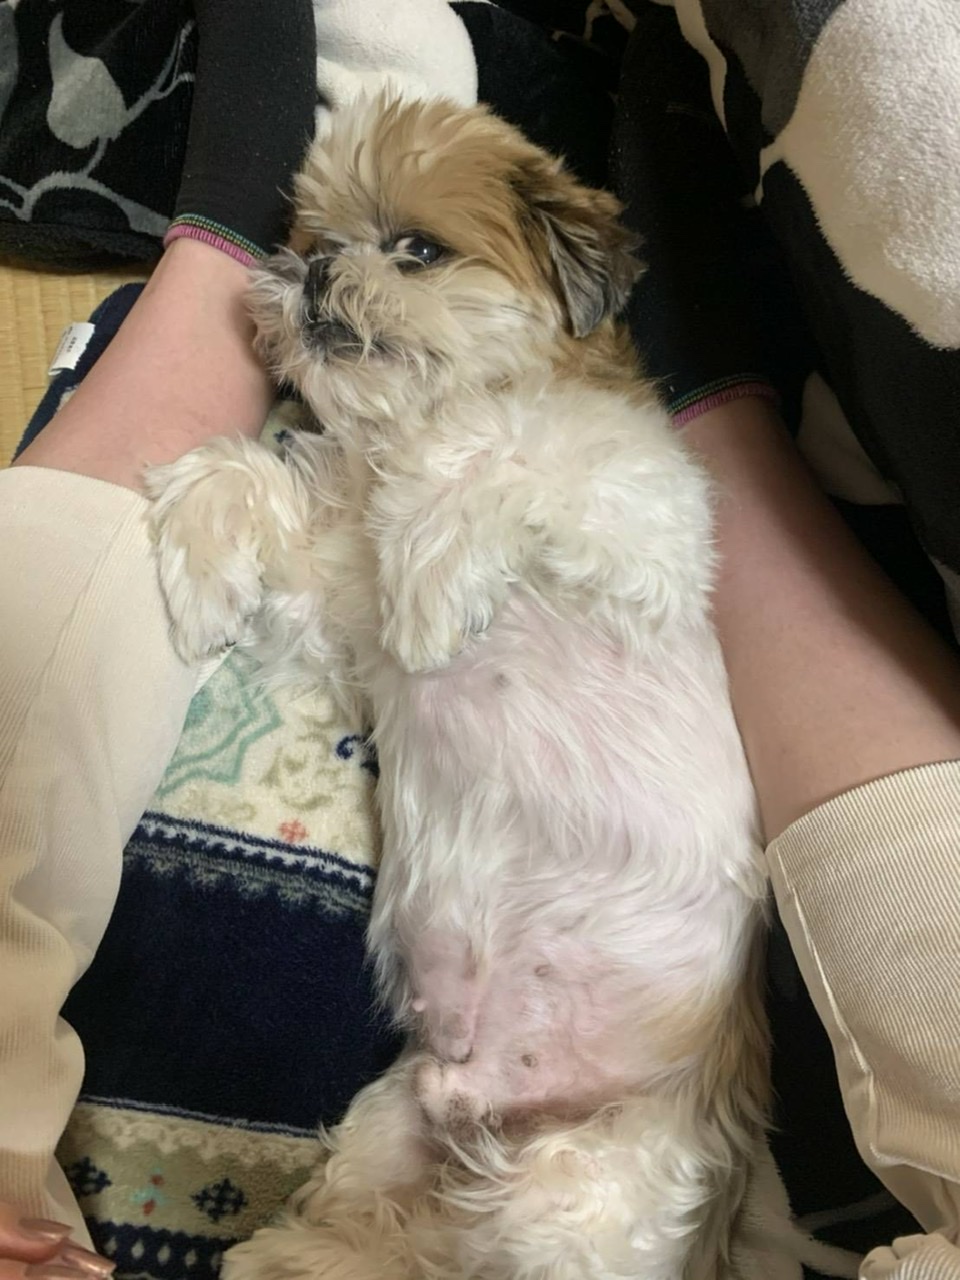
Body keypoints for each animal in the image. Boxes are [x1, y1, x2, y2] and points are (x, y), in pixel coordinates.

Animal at [146, 94, 835, 1280]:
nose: (315, 268)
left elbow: (501, 447)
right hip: (394, 1131)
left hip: (583, 1189)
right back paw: (282, 1256)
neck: (395, 440)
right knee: (391, 1237)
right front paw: (197, 560)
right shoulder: (339, 609)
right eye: (312, 240)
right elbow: (246, 472)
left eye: (416, 249)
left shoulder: (643, 519)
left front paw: (431, 569)